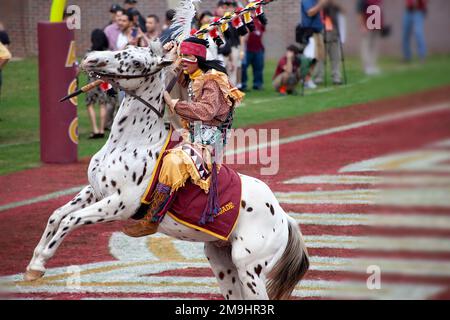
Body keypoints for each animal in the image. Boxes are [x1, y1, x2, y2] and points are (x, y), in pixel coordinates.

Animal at [23, 43, 310, 300]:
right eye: (123, 48)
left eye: (137, 62)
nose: (91, 59)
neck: (132, 144)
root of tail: (283, 218)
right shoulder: (94, 191)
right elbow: (56, 215)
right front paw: (34, 263)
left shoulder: (119, 204)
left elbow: (70, 220)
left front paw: (40, 263)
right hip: (221, 260)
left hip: (249, 269)